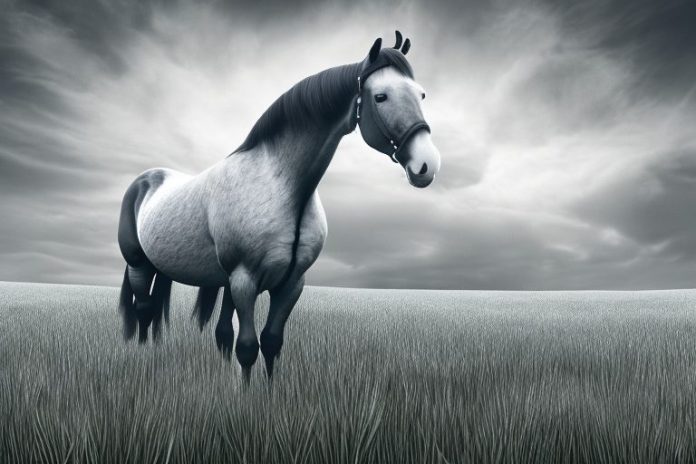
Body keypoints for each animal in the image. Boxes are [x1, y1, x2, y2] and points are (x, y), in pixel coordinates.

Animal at [117, 31, 441, 381]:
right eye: (380, 96)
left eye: (421, 95)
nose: (427, 164)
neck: (283, 189)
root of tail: (147, 179)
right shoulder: (244, 281)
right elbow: (247, 347)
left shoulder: (290, 283)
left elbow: (270, 341)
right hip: (139, 265)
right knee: (144, 309)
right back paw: (143, 358)